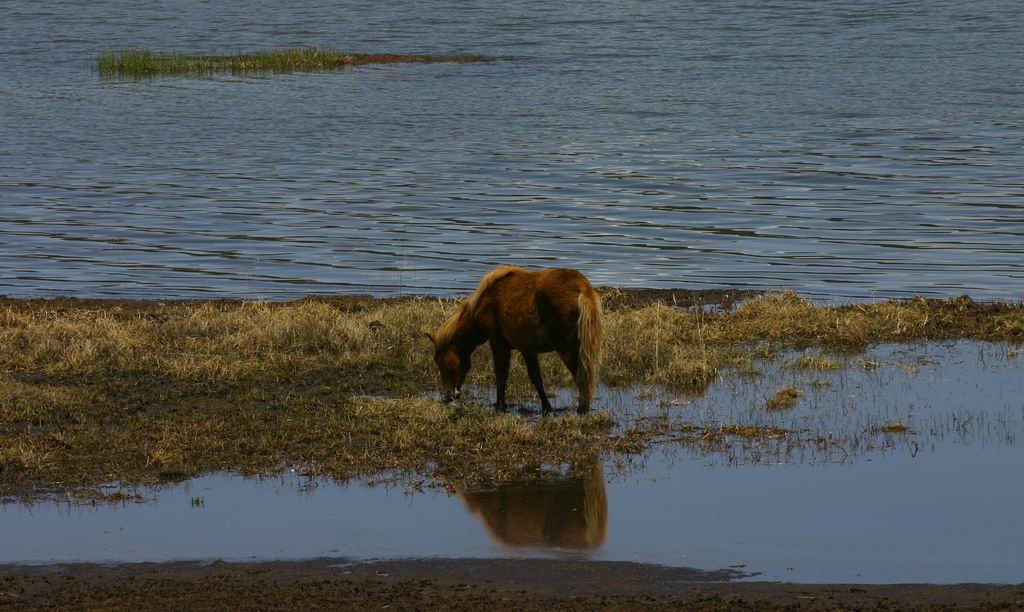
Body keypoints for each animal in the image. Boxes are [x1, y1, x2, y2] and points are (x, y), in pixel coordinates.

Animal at [421, 268, 598, 415]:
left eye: (440, 361)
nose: (448, 397)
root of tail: (582, 288)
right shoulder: (527, 349)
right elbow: (536, 378)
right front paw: (546, 407)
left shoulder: (498, 343)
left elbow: (501, 375)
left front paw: (500, 406)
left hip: (566, 348)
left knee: (581, 376)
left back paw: (582, 410)